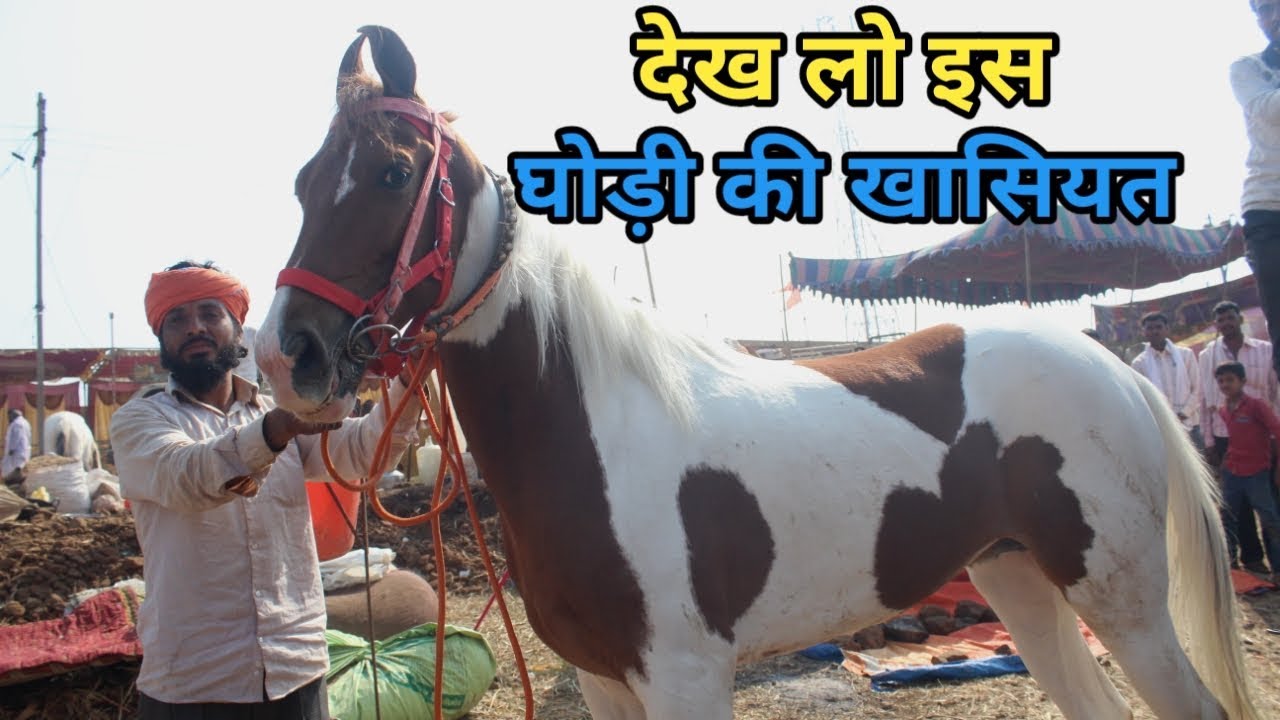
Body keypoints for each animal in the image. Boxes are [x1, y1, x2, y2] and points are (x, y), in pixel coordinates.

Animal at [253, 26, 1263, 720]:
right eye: (301, 183)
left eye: (392, 173)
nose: (285, 355)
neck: (590, 437)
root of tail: (1117, 371)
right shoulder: (603, 680)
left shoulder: (685, 678)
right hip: (1018, 581)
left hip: (1124, 601)